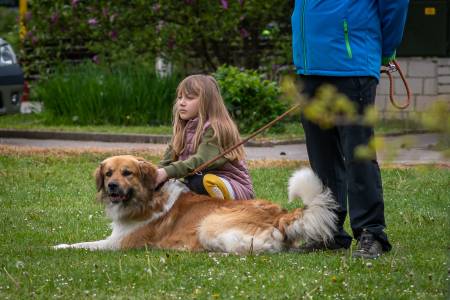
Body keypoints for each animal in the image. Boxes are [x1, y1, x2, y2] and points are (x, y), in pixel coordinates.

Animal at [53, 156, 338, 254]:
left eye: (127, 173)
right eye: (108, 173)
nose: (112, 186)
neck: (147, 198)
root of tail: (280, 214)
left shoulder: (119, 244)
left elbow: (85, 245)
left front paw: (60, 247)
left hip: (209, 224)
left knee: (249, 250)